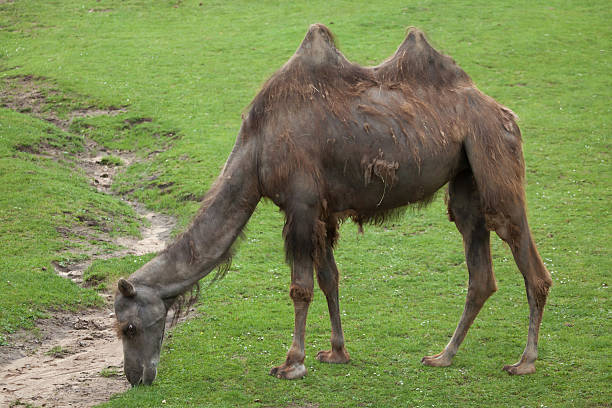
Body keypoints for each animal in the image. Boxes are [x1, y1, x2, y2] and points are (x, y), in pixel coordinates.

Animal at [112, 23, 552, 384]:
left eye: (128, 328)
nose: (136, 377)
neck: (255, 151)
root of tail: (503, 113)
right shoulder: (320, 211)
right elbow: (329, 278)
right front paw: (337, 353)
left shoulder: (300, 204)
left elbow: (300, 287)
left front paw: (292, 363)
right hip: (465, 178)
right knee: (480, 271)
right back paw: (443, 356)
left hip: (493, 155)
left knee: (526, 256)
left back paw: (525, 361)